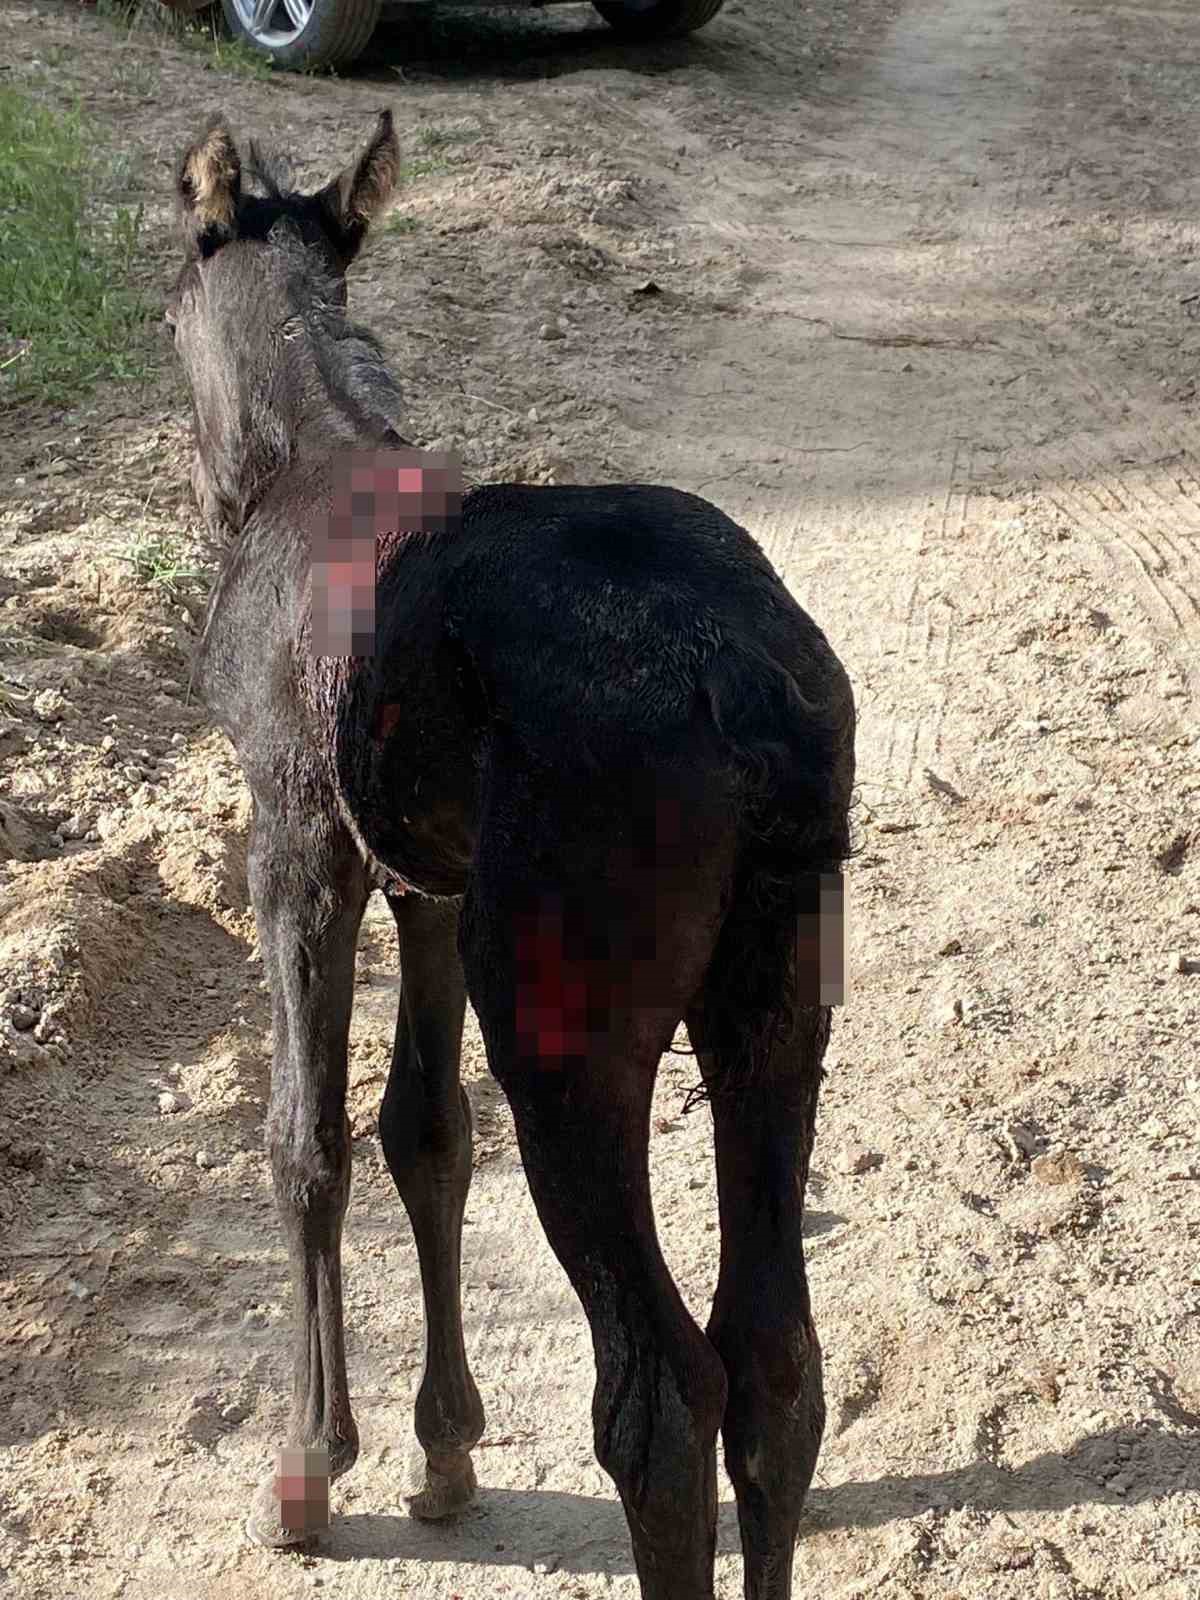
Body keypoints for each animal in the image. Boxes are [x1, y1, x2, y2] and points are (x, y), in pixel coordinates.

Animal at [173, 116, 857, 1600]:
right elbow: (427, 1133)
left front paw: (312, 1465)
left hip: (564, 1018)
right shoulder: (430, 879)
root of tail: (742, 684)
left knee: (662, 1391)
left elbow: (307, 1138)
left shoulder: (299, 841)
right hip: (779, 997)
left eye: (166, 302)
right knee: (776, 1364)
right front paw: (444, 1451)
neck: (305, 450)